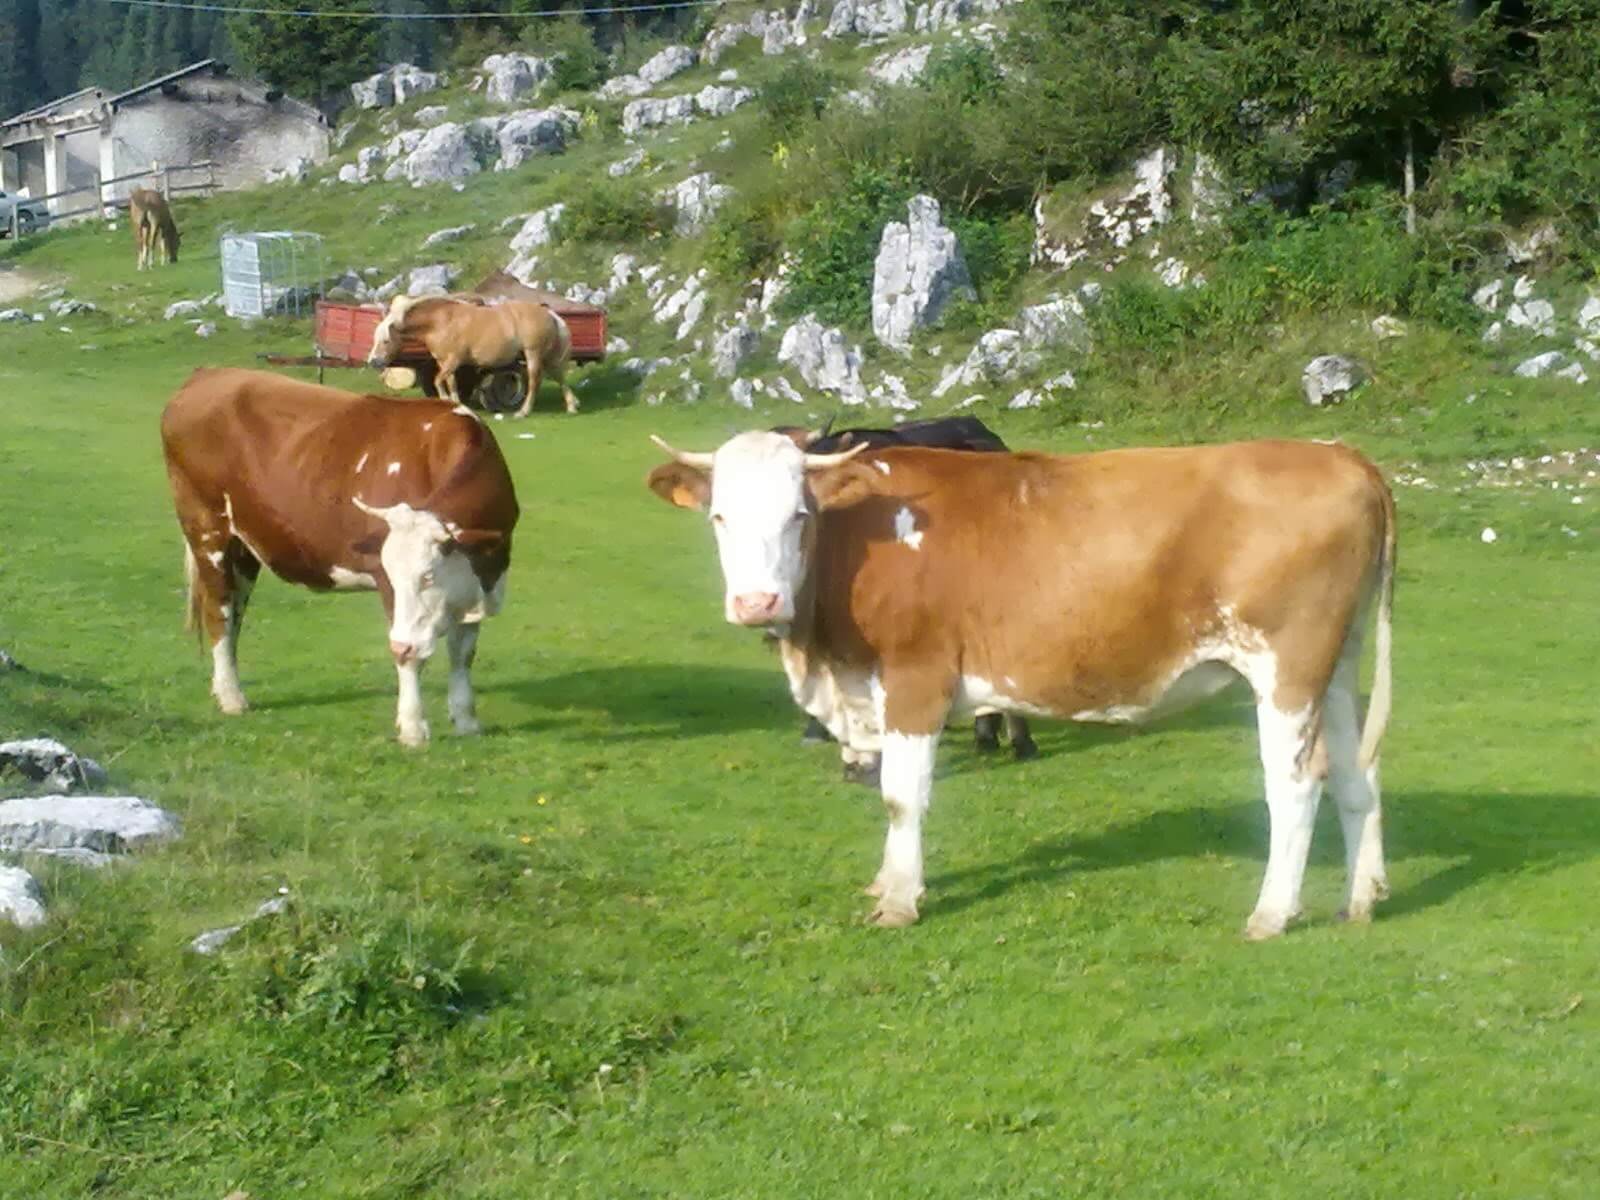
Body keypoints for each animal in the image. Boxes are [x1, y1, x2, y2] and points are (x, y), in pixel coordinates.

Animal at [160, 368, 519, 745]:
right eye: (392, 575)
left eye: (428, 575)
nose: (401, 645)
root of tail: (210, 373)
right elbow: (411, 661)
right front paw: (412, 727)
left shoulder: (482, 582)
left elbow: (463, 652)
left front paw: (466, 720)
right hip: (206, 529)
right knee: (220, 609)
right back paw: (231, 697)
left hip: (243, 547)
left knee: (235, 614)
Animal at [368, 295, 576, 418]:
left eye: (385, 341)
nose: (373, 361)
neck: (440, 322)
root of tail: (548, 313)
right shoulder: (445, 363)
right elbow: (450, 383)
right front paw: (456, 404)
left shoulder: (453, 361)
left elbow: (438, 381)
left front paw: (445, 400)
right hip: (547, 357)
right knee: (560, 378)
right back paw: (572, 406)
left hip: (533, 354)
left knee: (534, 382)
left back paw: (523, 412)